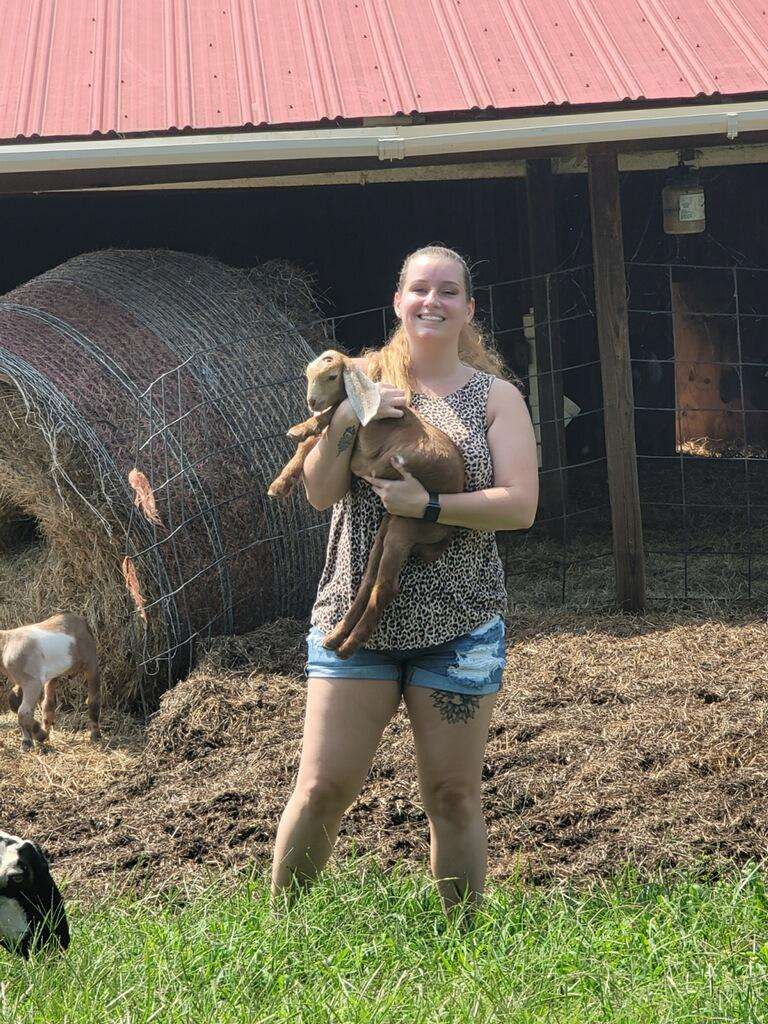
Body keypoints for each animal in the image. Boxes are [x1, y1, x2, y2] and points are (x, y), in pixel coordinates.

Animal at [0, 614, 102, 753]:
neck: (6, 644)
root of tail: (81, 621)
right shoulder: (23, 680)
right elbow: (14, 702)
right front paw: (36, 734)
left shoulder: (32, 682)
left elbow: (23, 712)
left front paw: (31, 740)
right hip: (54, 674)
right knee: (48, 704)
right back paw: (46, 730)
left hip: (91, 664)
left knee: (93, 701)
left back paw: (95, 734)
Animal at [268, 350, 466, 655]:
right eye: (308, 376)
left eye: (332, 376)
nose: (312, 402)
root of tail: (447, 532)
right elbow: (313, 441)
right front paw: (280, 485)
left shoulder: (362, 454)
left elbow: (331, 417)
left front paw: (301, 428)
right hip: (390, 524)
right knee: (369, 579)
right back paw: (337, 637)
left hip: (409, 526)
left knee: (386, 587)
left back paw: (349, 645)